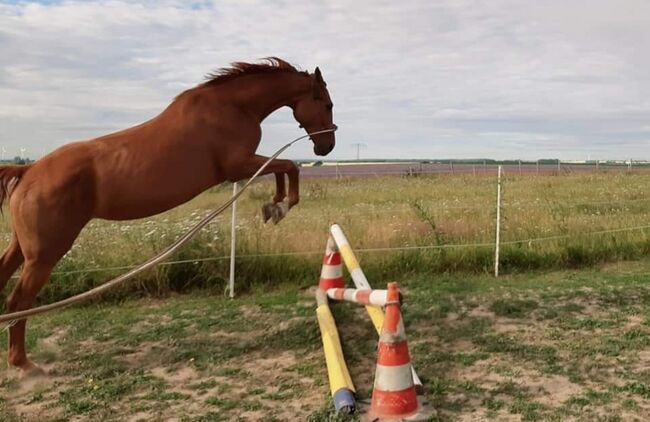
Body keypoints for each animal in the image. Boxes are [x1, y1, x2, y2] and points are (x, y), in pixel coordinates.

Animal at [0, 56, 336, 376]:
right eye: (327, 104)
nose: (327, 146)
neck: (232, 107)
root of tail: (29, 171)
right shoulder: (239, 165)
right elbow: (288, 166)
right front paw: (280, 206)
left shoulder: (244, 166)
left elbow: (283, 168)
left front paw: (274, 205)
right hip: (43, 255)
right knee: (18, 302)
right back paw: (24, 365)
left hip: (21, 248)